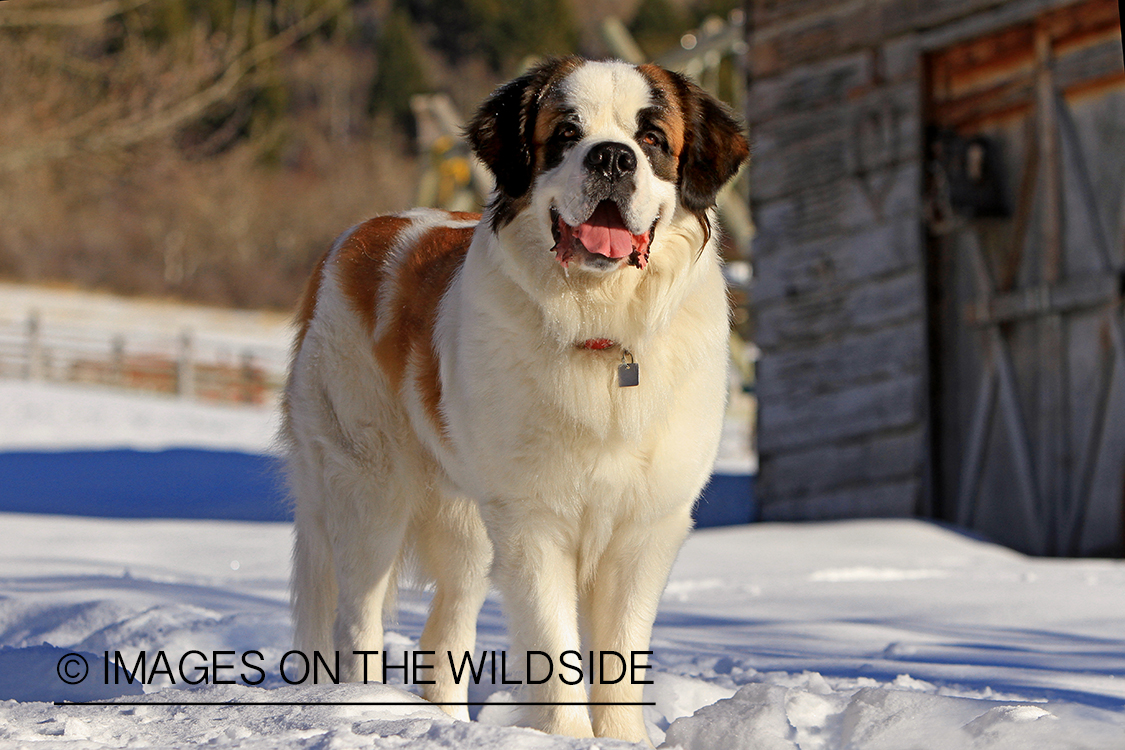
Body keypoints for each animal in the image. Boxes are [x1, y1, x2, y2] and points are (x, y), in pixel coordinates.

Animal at [285, 55, 751, 742]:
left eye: (651, 140)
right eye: (566, 134)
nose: (612, 158)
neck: (600, 331)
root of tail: (357, 237)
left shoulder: (644, 527)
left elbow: (620, 652)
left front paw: (622, 741)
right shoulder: (534, 522)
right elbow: (555, 649)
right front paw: (568, 739)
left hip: (468, 523)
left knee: (447, 628)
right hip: (368, 487)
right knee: (356, 617)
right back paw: (364, 709)